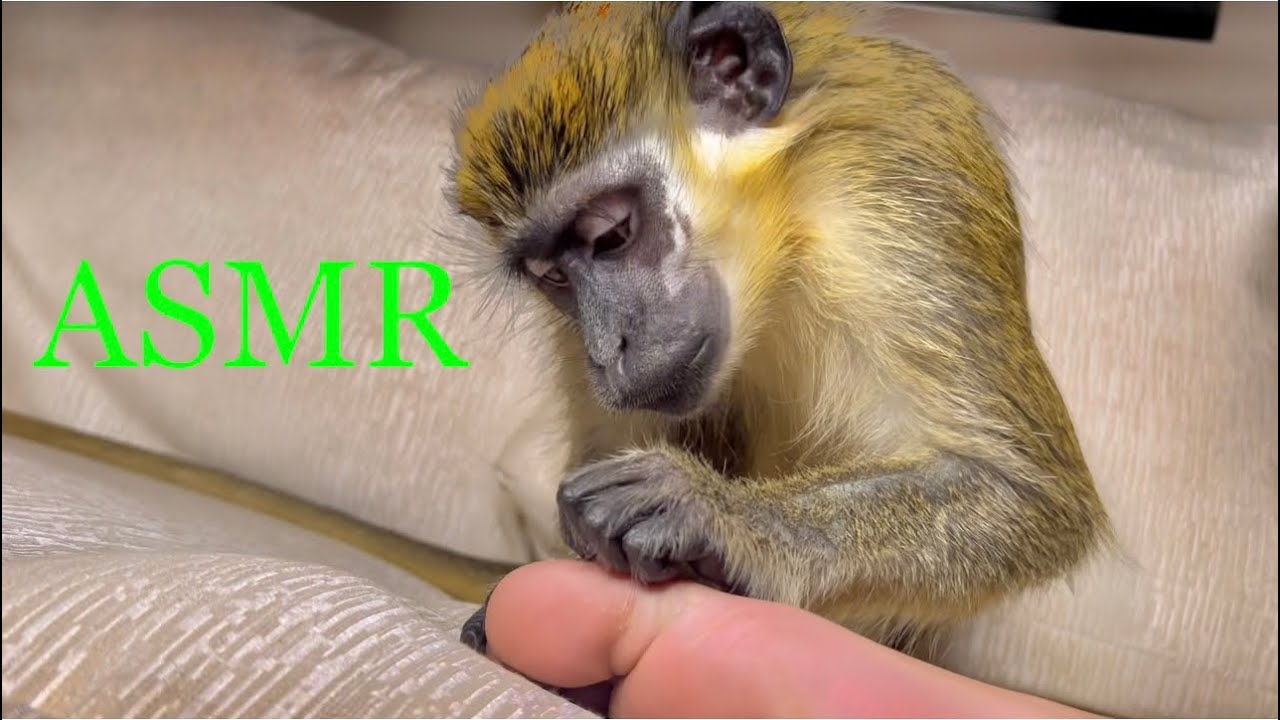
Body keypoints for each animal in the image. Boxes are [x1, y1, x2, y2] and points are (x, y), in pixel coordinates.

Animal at [447, 0, 1111, 668]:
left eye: (611, 234)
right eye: (555, 278)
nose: (606, 352)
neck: (786, 226)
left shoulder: (899, 203)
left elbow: (1027, 496)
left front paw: (716, 514)